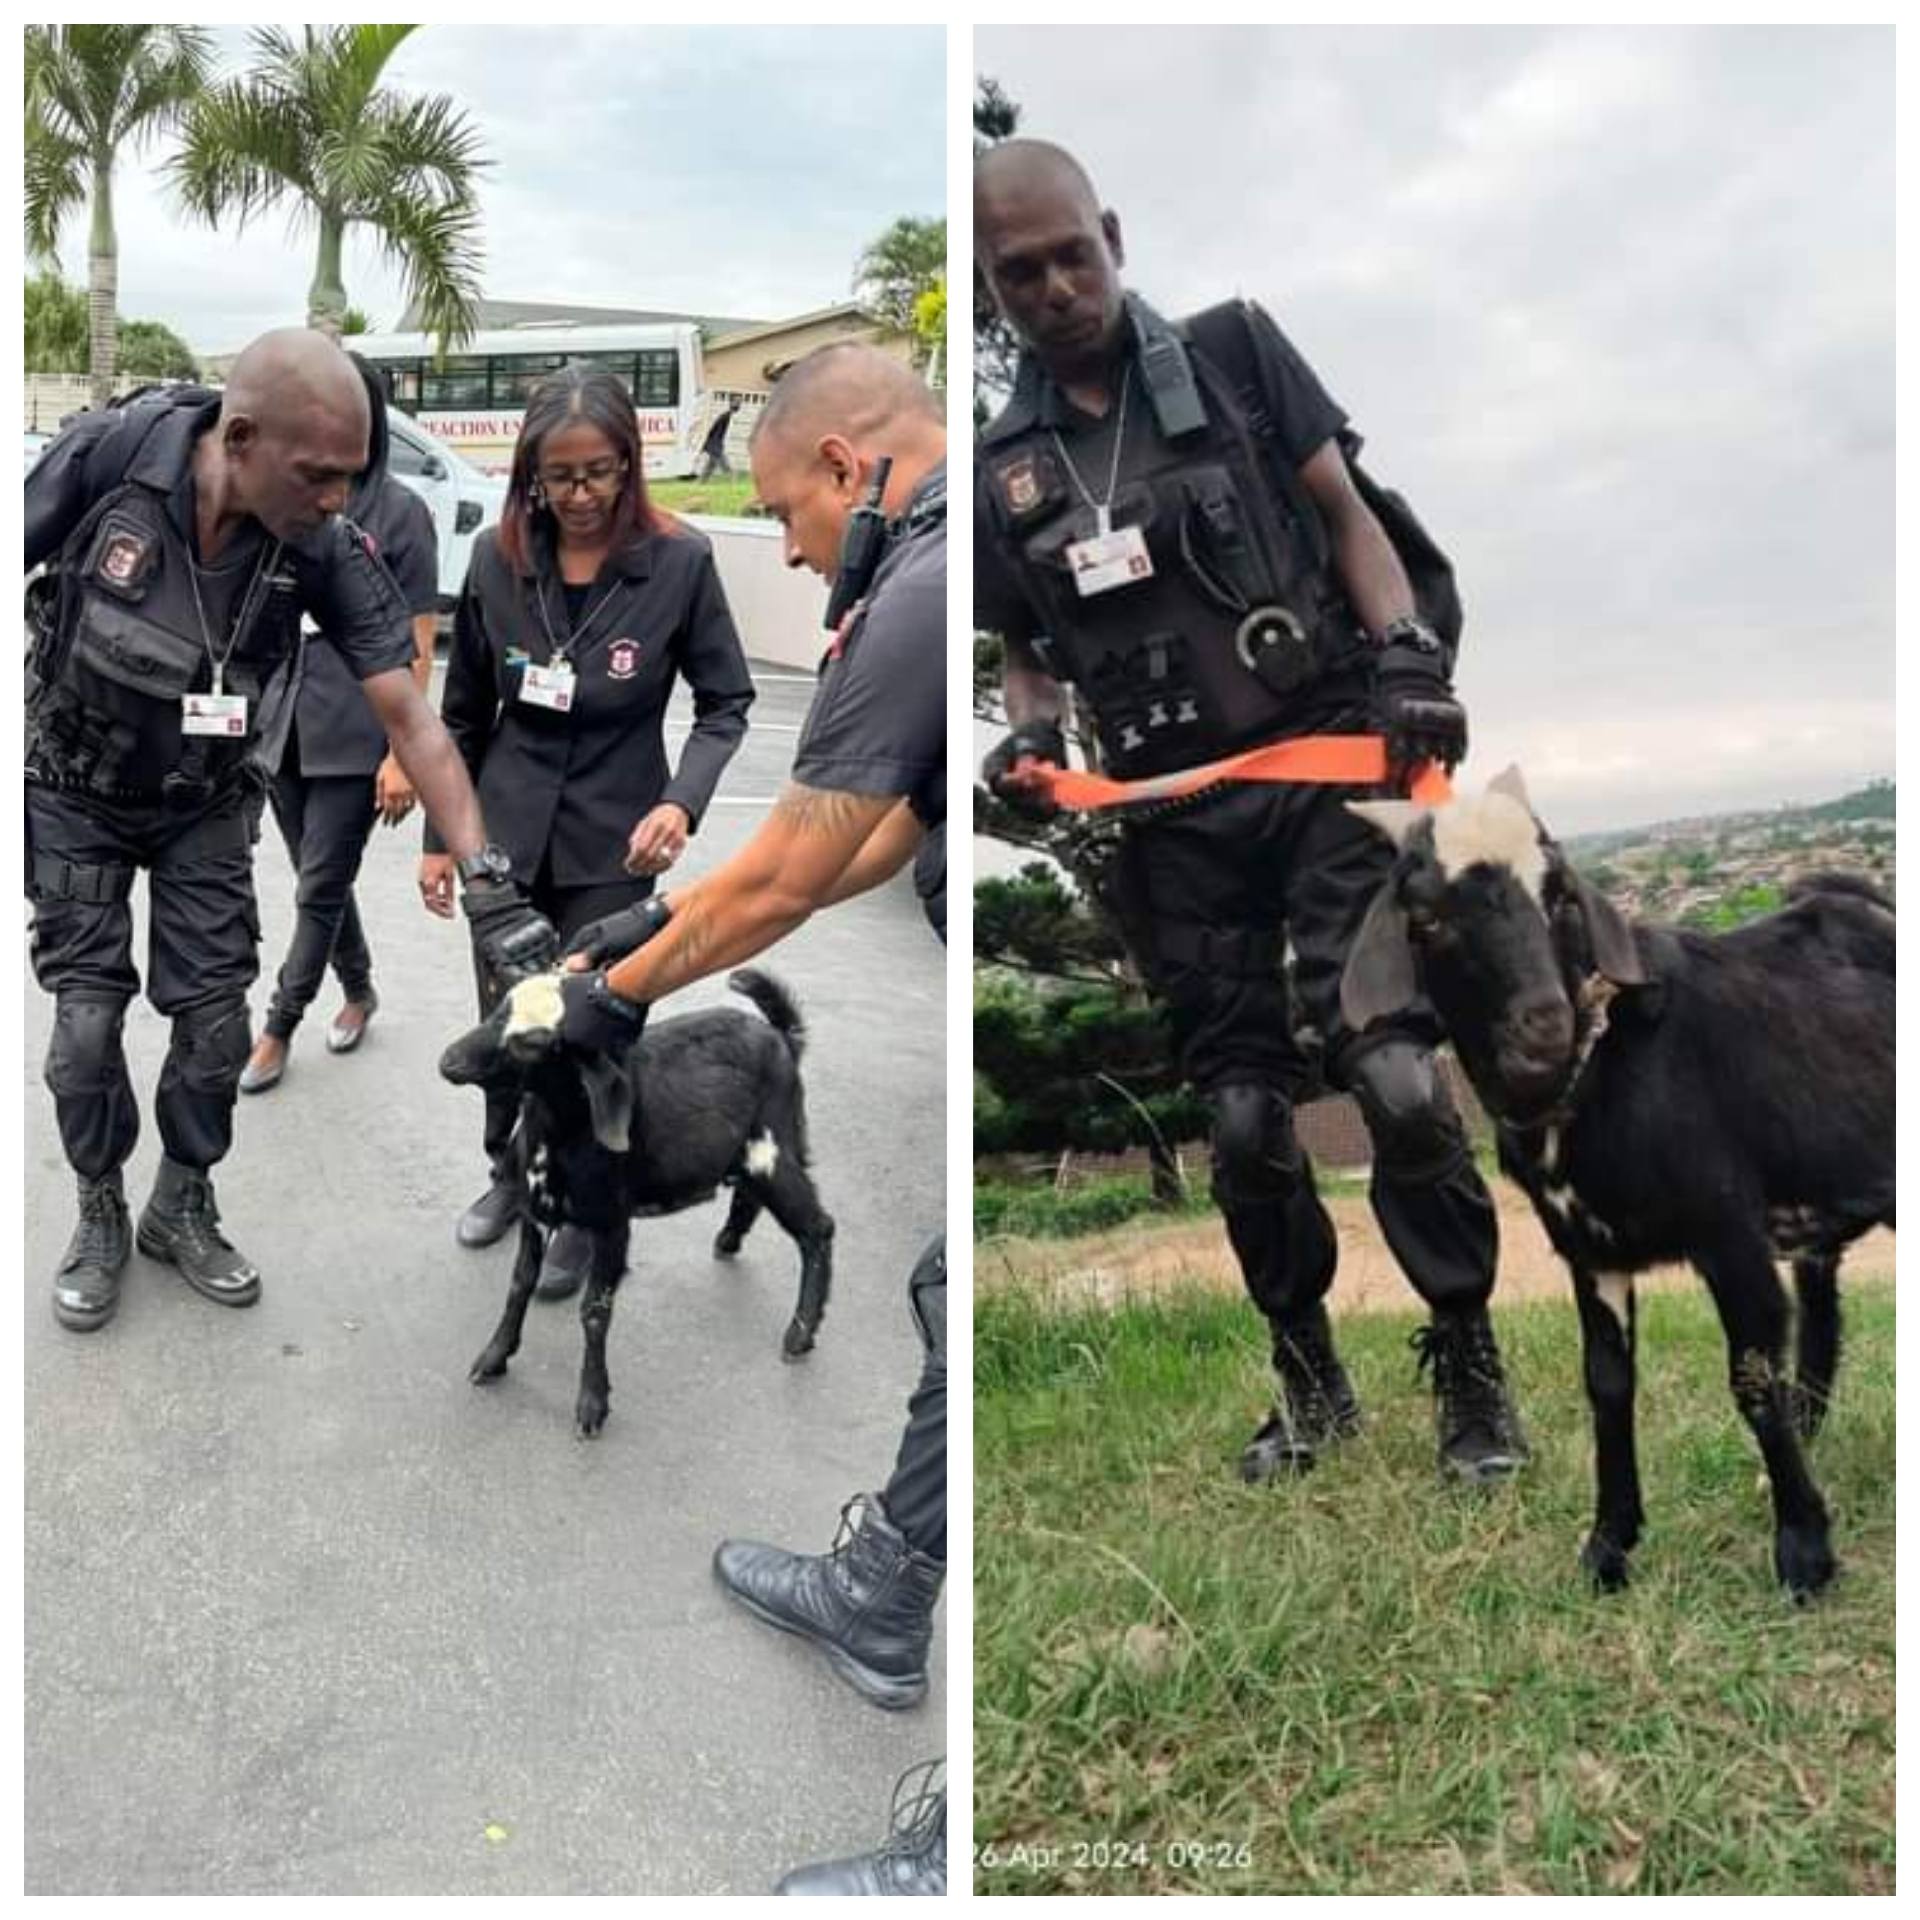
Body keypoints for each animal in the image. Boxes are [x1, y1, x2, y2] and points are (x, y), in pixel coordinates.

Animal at [441, 967, 833, 1436]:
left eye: (534, 1042)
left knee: (817, 1228)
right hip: (752, 1151)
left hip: (773, 1146)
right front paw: (492, 1359)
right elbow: (519, 1284)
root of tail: (783, 1037)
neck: (560, 1136)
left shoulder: (613, 1223)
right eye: (499, 1006)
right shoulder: (534, 1214)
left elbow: (595, 1311)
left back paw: (800, 1334)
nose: (449, 1061)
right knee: (752, 1196)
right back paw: (729, 1240)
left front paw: (592, 1403)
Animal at [1344, 771, 1896, 1597]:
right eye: (1428, 917)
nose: (1545, 1026)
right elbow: (1607, 1383)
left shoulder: (1727, 1232)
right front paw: (1608, 1547)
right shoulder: (1589, 1250)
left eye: (1560, 893)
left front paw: (1804, 1553)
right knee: (1823, 1309)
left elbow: (1752, 1376)